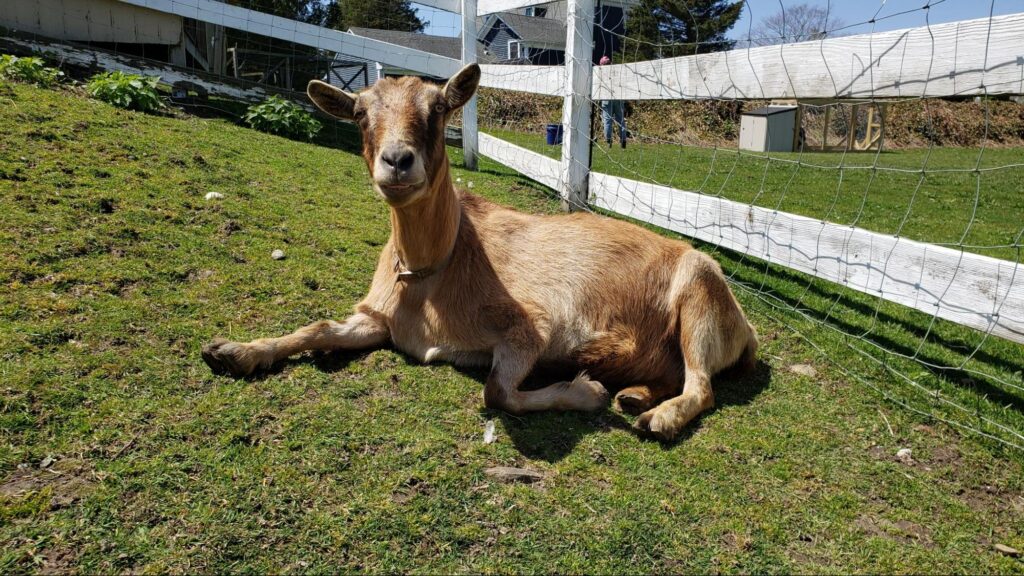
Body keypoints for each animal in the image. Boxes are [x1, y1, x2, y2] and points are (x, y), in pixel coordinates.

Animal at [202, 64, 758, 440]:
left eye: (439, 108)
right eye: (359, 112)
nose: (397, 161)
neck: (432, 273)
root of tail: (746, 329)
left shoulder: (532, 326)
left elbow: (496, 391)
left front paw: (584, 392)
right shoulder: (376, 318)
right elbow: (318, 327)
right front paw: (234, 351)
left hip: (700, 297)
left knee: (701, 383)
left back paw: (656, 416)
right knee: (676, 374)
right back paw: (635, 394)